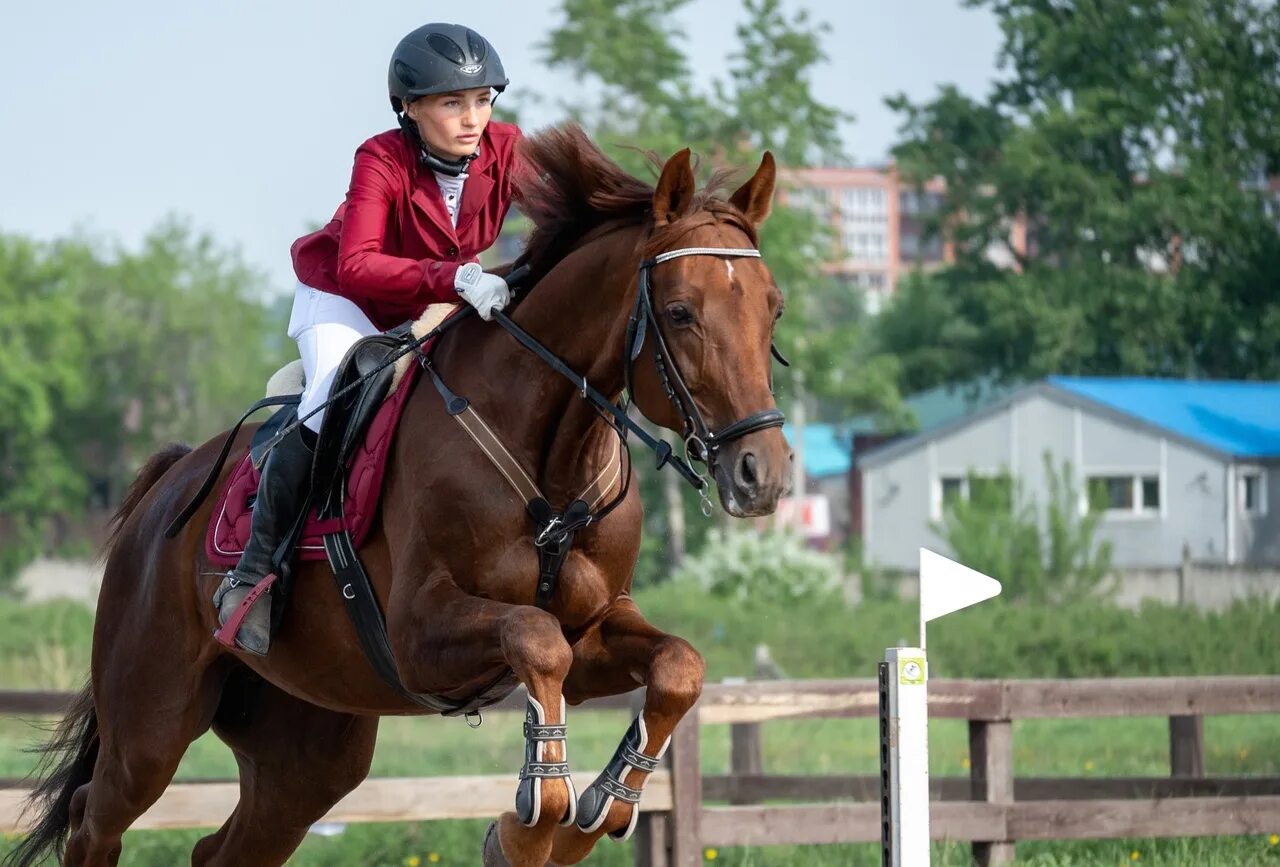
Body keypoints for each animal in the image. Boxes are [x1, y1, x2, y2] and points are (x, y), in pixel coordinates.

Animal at [7, 123, 788, 865]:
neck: (549, 453)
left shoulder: (595, 625)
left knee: (224, 845)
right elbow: (535, 642)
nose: (764, 472)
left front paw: (595, 810)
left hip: (306, 747)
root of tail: (164, 490)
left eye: (774, 310)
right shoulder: (420, 633)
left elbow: (678, 665)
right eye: (681, 312)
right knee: (94, 821)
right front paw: (532, 825)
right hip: (152, 718)